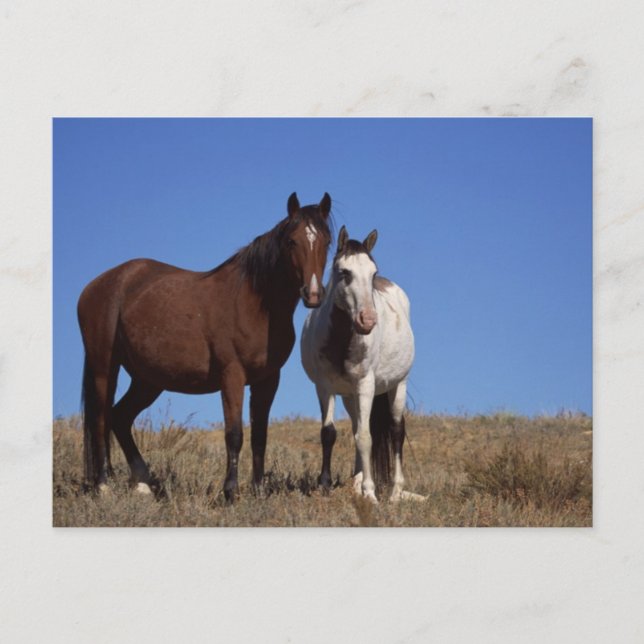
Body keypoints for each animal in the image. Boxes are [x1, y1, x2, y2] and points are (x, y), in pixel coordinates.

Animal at [77, 192, 332, 501]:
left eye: (327, 241)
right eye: (292, 241)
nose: (313, 294)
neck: (254, 303)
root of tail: (97, 285)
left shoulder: (268, 380)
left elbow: (260, 435)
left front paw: (258, 490)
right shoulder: (232, 375)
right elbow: (234, 434)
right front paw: (231, 492)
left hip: (147, 380)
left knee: (120, 417)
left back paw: (142, 483)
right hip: (105, 367)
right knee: (101, 419)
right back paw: (103, 485)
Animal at [301, 225, 415, 503]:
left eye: (373, 273)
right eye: (344, 272)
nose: (368, 320)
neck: (341, 339)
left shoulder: (365, 384)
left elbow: (365, 437)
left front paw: (371, 494)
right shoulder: (325, 387)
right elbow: (329, 433)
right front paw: (325, 485)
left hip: (398, 385)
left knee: (396, 430)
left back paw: (395, 493)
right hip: (349, 396)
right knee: (355, 426)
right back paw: (356, 482)